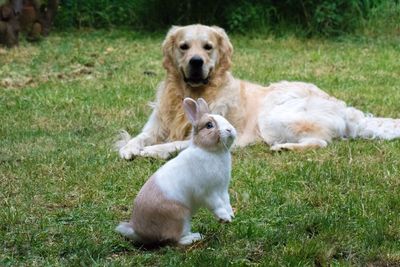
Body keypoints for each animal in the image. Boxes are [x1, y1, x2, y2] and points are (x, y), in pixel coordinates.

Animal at [115, 97, 238, 246]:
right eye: (209, 125)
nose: (230, 129)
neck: (211, 151)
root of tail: (138, 232)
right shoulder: (207, 192)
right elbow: (217, 204)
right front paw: (224, 218)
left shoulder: (222, 189)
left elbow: (226, 201)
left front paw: (231, 215)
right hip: (180, 217)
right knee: (174, 239)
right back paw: (194, 237)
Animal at [117, 24, 400, 159]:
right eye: (183, 46)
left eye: (208, 47)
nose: (196, 62)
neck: (192, 92)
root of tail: (345, 109)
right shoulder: (155, 127)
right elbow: (139, 137)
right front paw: (129, 148)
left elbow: (175, 144)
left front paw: (153, 151)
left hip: (273, 117)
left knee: (321, 142)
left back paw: (284, 148)